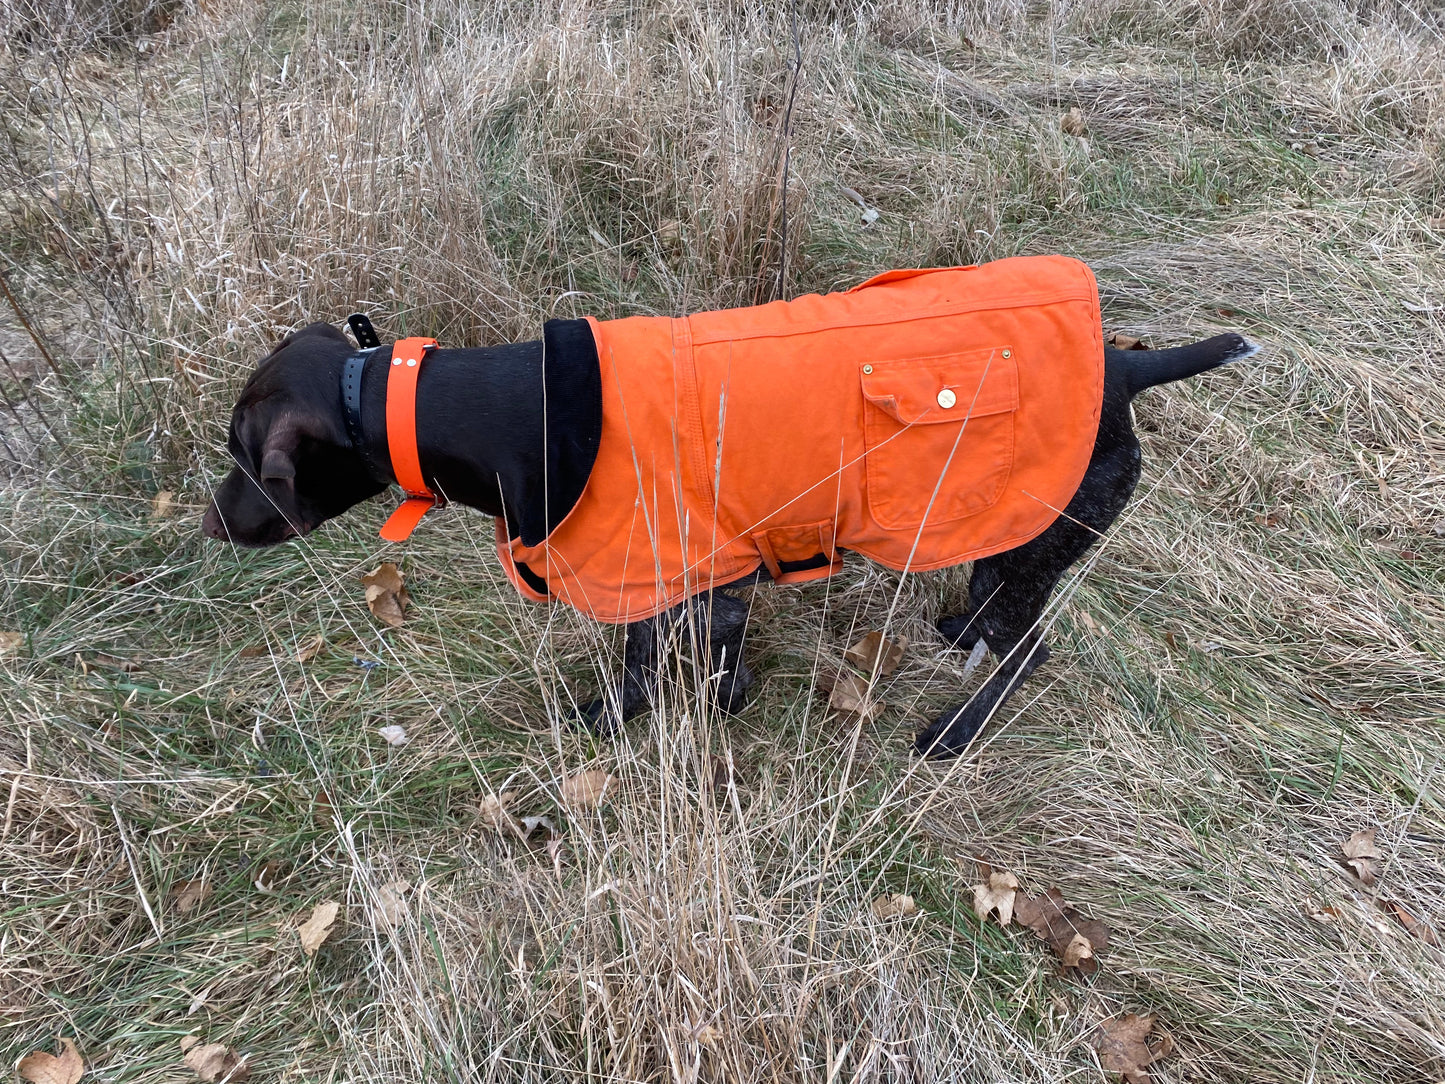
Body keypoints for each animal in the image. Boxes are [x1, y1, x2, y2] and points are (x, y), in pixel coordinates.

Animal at [203, 258, 1254, 757]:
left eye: (247, 461)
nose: (209, 524)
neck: (517, 408)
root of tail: (1125, 366)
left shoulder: (677, 577)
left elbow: (643, 675)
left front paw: (608, 720)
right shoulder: (713, 582)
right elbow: (705, 666)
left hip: (1031, 539)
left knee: (1030, 650)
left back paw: (955, 732)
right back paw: (959, 631)